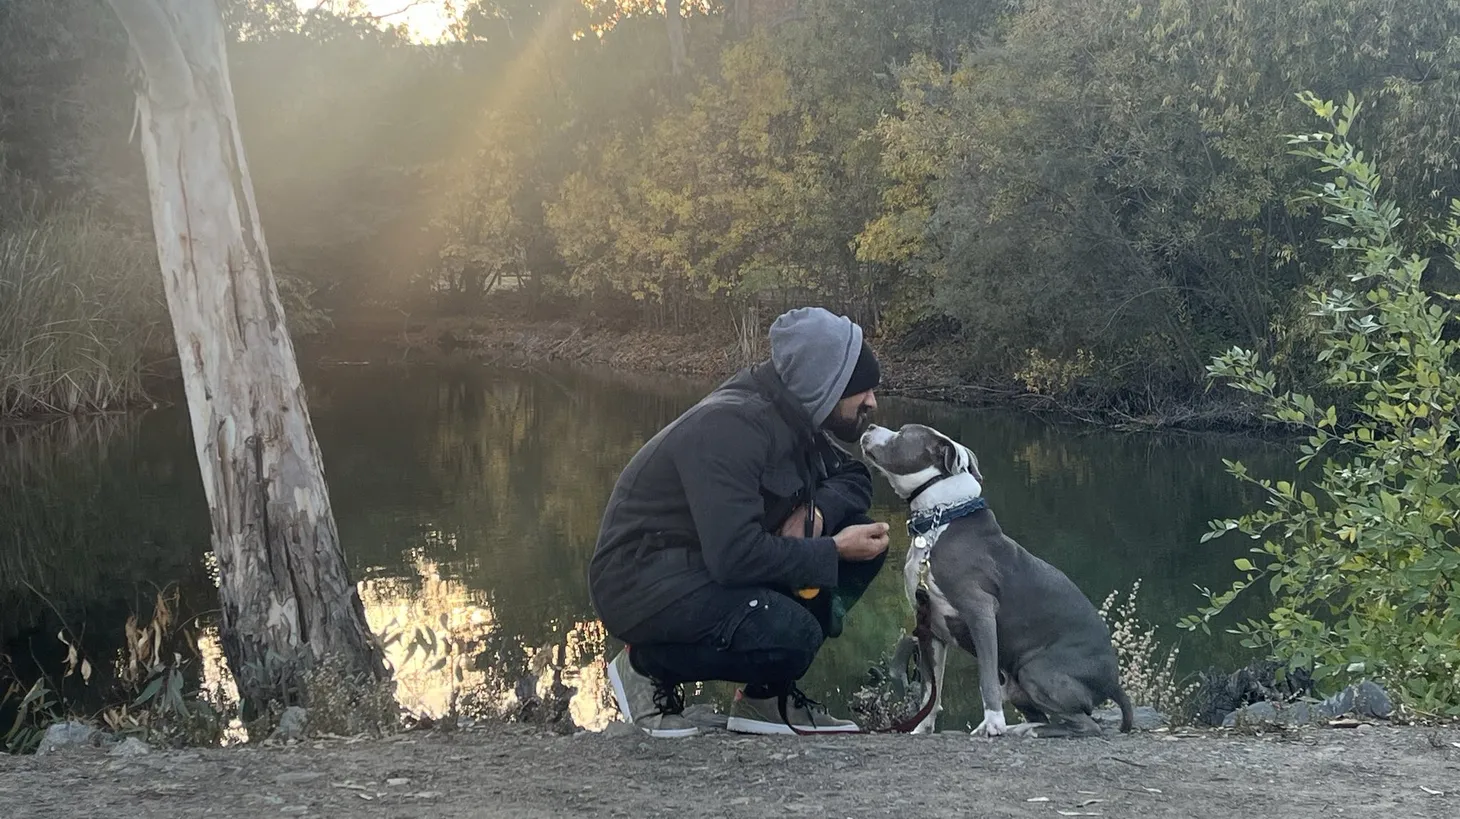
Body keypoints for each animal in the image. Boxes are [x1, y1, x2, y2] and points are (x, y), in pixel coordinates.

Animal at [858, 423, 1132, 738]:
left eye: (903, 433)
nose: (870, 426)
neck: (941, 519)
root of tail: (1113, 683)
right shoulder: (930, 627)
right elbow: (931, 689)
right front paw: (923, 728)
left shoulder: (981, 612)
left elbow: (985, 678)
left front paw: (993, 723)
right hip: (1017, 686)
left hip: (1036, 670)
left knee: (1086, 725)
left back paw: (1025, 730)